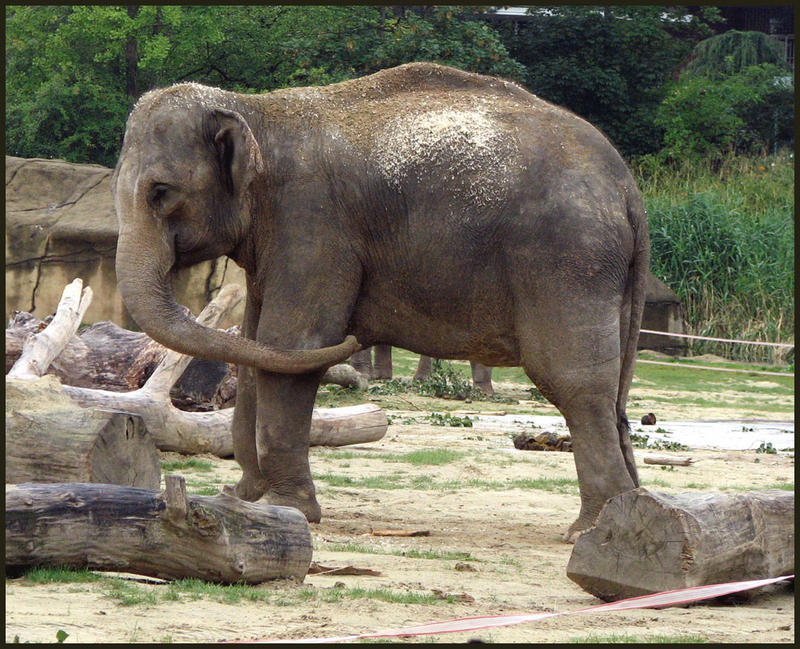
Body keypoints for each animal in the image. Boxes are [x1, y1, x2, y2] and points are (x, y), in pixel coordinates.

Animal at [112, 62, 648, 540]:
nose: (357, 338)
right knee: (612, 389)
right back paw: (628, 513)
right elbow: (257, 344)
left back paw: (590, 529)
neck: (256, 109)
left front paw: (287, 510)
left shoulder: (314, 223)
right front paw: (241, 499)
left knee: (574, 381)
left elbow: (294, 342)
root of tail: (627, 186)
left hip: (565, 259)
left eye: (162, 192)